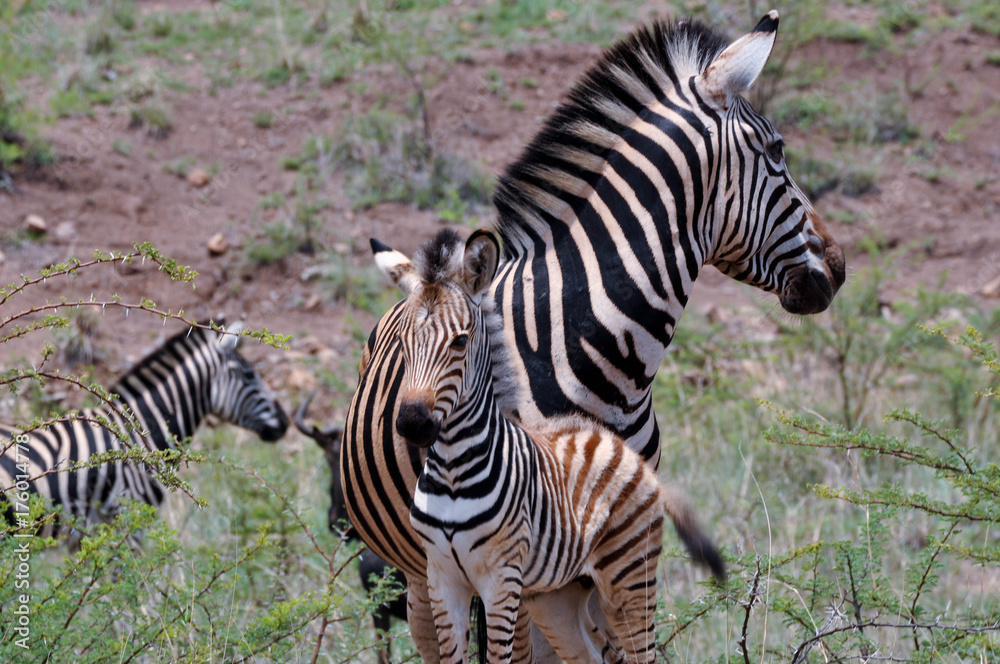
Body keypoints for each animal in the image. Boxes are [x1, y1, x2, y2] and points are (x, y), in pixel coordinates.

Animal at [372, 228, 724, 664]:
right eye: (402, 341)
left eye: (459, 342)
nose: (412, 422)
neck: (454, 470)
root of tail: (630, 456)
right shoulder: (443, 579)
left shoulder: (501, 581)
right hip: (557, 594)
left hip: (630, 577)